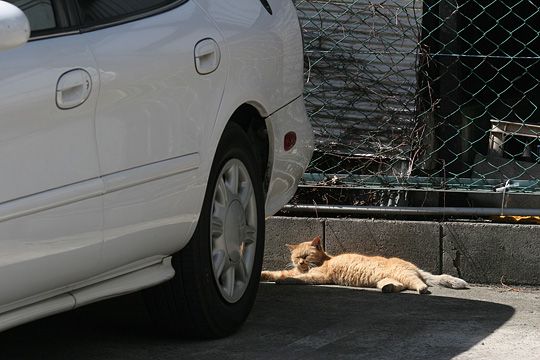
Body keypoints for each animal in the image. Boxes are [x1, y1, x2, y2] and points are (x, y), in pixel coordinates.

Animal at [260, 235, 466, 294]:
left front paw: (285, 281)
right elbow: (277, 273)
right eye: (296, 257)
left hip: (403, 273)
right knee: (399, 286)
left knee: (418, 283)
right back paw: (389, 288)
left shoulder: (318, 276)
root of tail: (414, 266)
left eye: (306, 255)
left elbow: (297, 278)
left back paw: (422, 289)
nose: (301, 262)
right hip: (387, 279)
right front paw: (264, 275)